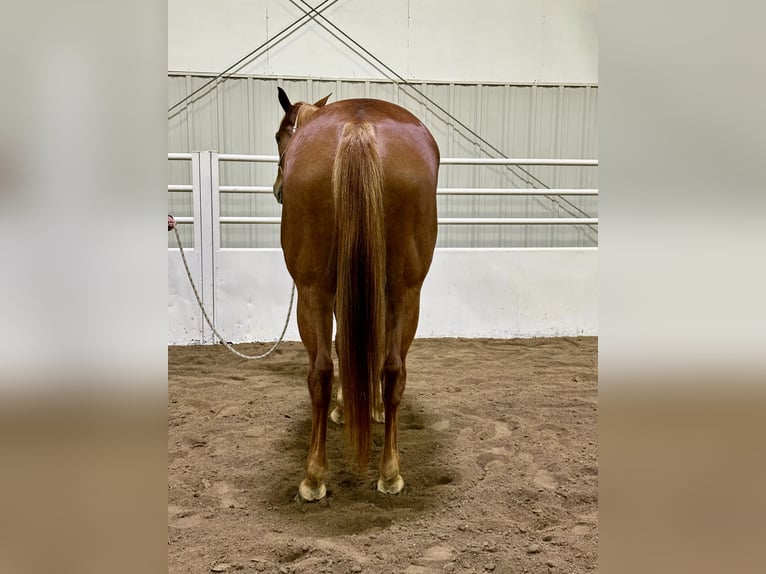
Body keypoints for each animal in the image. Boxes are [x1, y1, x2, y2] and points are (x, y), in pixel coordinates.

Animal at [272, 88, 440, 502]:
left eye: (280, 135)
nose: (278, 189)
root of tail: (359, 125)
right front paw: (366, 408)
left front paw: (349, 408)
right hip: (404, 292)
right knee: (391, 369)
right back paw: (388, 472)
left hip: (314, 292)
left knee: (322, 371)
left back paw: (315, 477)